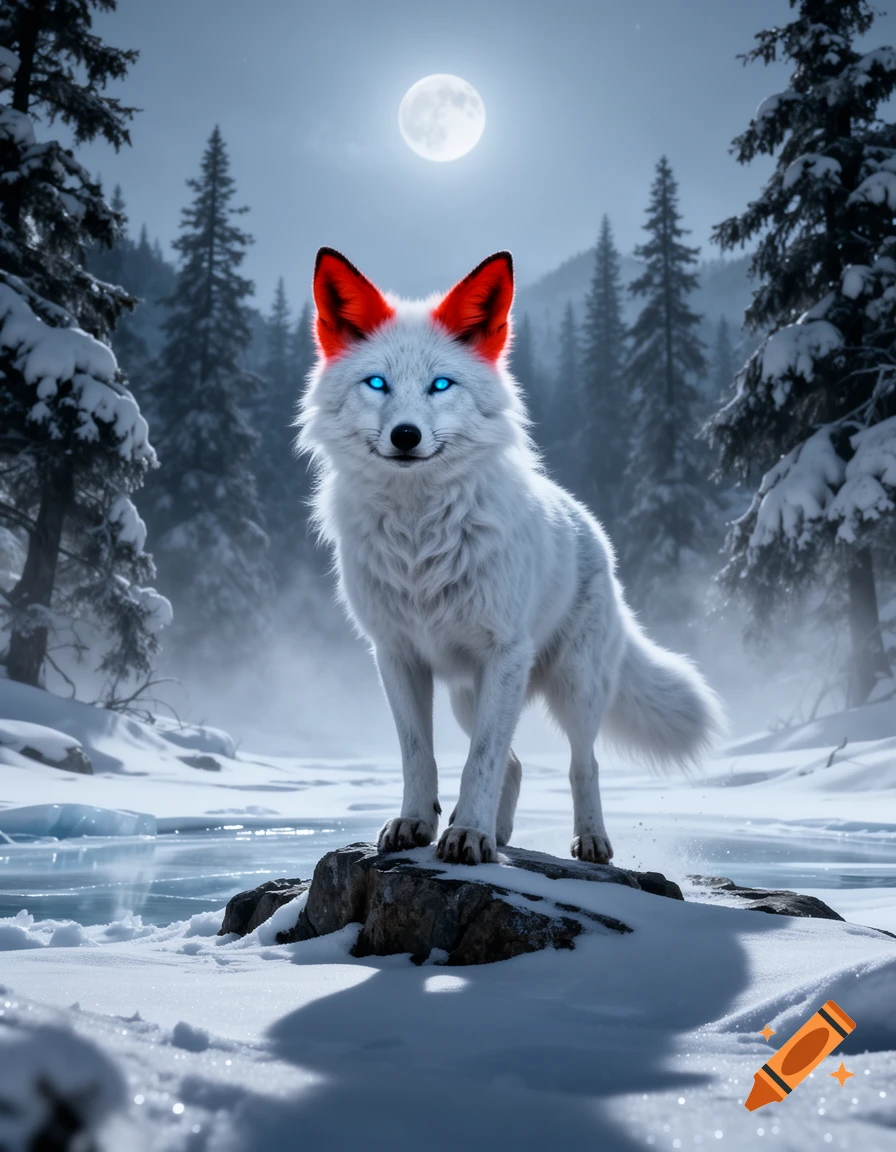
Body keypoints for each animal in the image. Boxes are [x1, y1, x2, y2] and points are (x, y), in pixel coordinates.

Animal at [297, 247, 725, 866]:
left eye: (440, 385)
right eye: (377, 383)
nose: (406, 436)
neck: (418, 534)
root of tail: (595, 531)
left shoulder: (505, 653)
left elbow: (481, 761)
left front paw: (468, 835)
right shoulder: (396, 655)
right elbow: (419, 754)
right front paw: (417, 824)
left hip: (571, 686)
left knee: (581, 762)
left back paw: (587, 840)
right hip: (467, 695)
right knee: (517, 763)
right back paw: (497, 834)